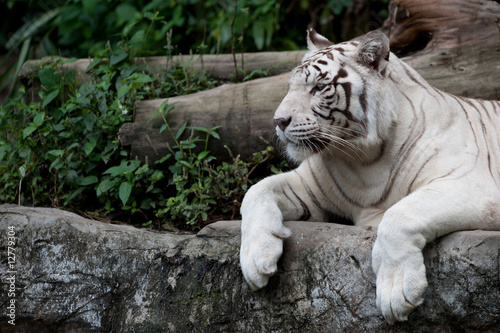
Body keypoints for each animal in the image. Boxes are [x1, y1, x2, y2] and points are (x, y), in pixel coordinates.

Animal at [240, 27, 500, 322]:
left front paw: (395, 292)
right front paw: (255, 259)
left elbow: (398, 214)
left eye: (319, 87)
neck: (361, 160)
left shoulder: (476, 187)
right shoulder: (308, 187)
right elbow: (256, 191)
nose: (279, 121)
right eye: (290, 87)